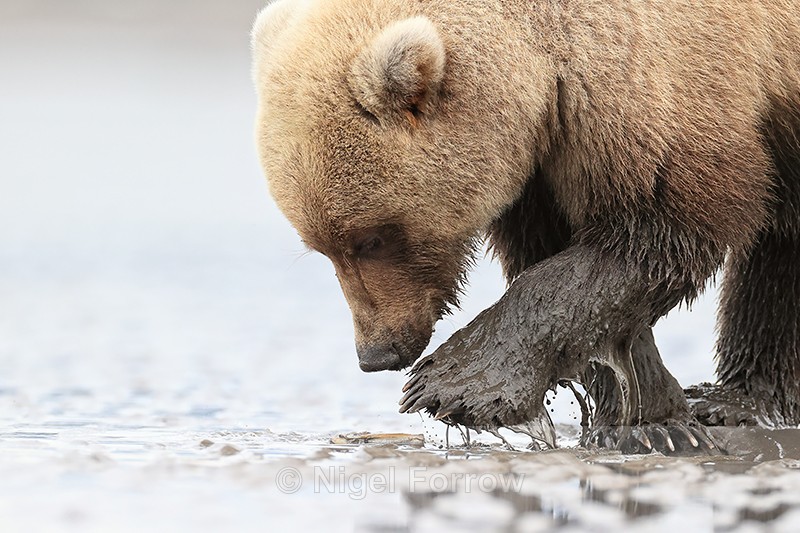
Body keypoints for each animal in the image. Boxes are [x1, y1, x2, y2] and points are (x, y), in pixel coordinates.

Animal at [252, 0, 800, 452]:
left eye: (371, 238)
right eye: (322, 248)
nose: (377, 353)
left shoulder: (664, 84)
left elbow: (658, 232)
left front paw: (455, 385)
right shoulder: (546, 161)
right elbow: (565, 261)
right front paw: (644, 419)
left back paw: (735, 401)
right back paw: (740, 399)